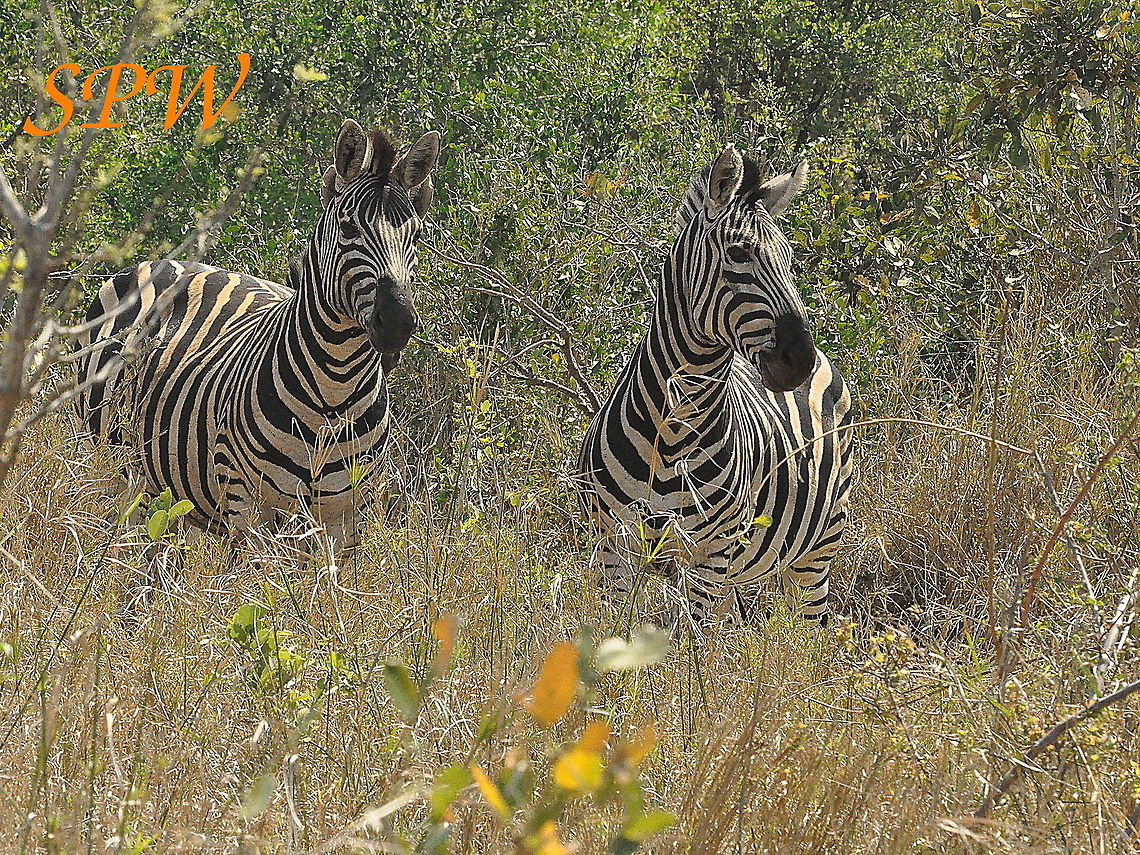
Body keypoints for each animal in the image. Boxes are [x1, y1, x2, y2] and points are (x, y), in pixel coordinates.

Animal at [74, 119, 440, 546]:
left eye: (416, 235)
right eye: (348, 227)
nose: (398, 322)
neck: (335, 390)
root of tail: (159, 262)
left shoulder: (346, 517)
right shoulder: (247, 505)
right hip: (110, 459)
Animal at [577, 145, 854, 626]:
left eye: (789, 259)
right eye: (739, 253)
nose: (797, 361)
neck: (672, 433)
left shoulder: (711, 553)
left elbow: (689, 645)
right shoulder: (614, 547)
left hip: (815, 552)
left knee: (808, 627)